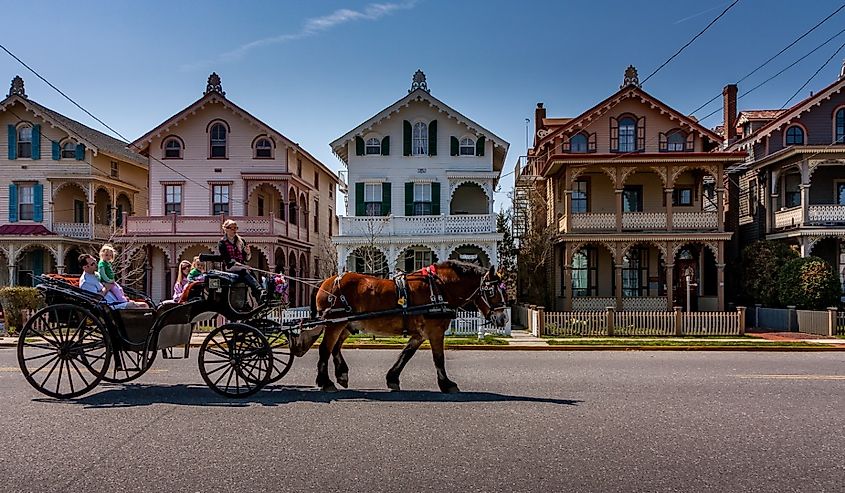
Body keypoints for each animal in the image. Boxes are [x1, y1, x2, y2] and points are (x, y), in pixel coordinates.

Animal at [288, 262, 508, 392]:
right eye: (492, 292)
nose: (503, 318)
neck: (439, 289)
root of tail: (327, 281)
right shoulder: (435, 331)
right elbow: (439, 358)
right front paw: (447, 384)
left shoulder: (420, 334)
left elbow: (405, 355)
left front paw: (392, 378)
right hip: (336, 322)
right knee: (325, 349)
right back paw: (325, 381)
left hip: (346, 324)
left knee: (335, 347)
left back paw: (342, 374)